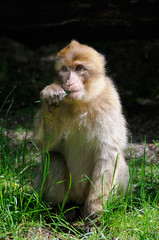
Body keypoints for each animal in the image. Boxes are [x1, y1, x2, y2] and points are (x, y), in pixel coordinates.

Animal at [33, 39, 129, 219]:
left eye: (79, 69)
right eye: (65, 69)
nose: (69, 82)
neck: (81, 103)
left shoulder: (109, 102)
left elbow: (108, 154)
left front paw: (95, 213)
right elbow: (46, 145)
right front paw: (51, 99)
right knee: (54, 158)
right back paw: (60, 210)